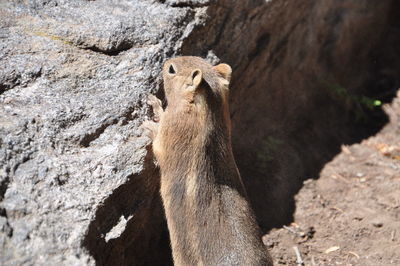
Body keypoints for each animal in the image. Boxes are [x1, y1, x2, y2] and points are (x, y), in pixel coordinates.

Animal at [141, 56, 272, 266]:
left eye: (171, 69)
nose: (166, 61)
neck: (208, 108)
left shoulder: (172, 128)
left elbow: (158, 141)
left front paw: (150, 119)